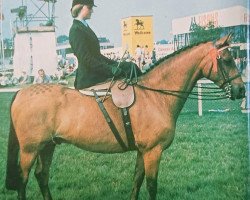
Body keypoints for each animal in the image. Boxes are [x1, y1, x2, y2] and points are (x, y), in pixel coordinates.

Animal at [5, 34, 244, 200]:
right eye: (226, 60)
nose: (241, 90)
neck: (155, 96)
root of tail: (21, 93)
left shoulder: (143, 151)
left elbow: (137, 181)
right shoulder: (153, 151)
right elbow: (151, 186)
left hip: (48, 146)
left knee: (42, 176)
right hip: (30, 150)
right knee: (23, 181)